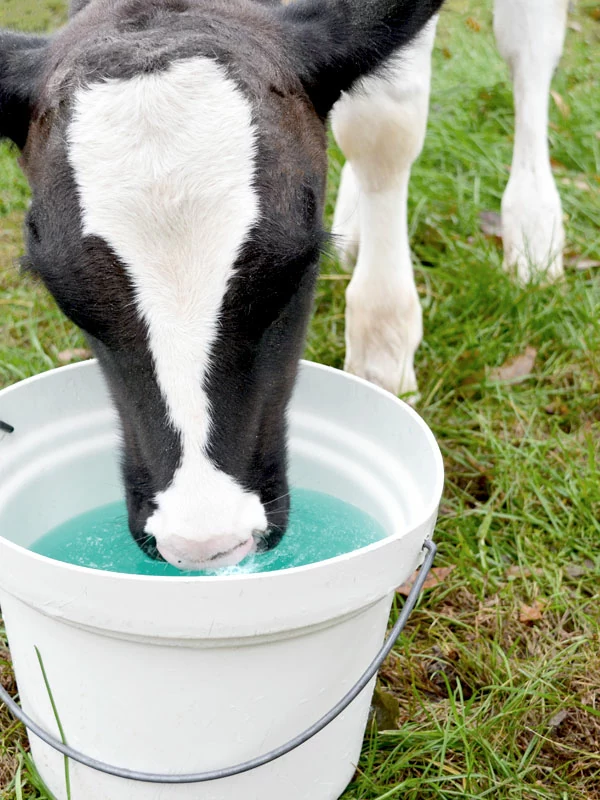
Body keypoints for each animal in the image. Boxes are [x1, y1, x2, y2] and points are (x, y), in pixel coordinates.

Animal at [0, 0, 568, 572]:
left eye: (295, 273)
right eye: (71, 300)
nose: (206, 543)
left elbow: (385, 119)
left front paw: (383, 344)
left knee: (526, 45)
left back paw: (533, 229)